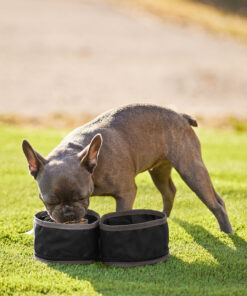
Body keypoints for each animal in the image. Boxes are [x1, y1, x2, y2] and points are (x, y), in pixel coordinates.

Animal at [22, 104, 233, 234]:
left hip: (190, 169)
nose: (68, 213)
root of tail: (181, 116)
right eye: (49, 201)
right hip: (159, 170)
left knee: (215, 203)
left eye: (81, 198)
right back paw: (165, 216)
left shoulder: (126, 193)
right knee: (170, 191)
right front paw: (32, 231)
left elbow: (120, 213)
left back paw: (226, 232)